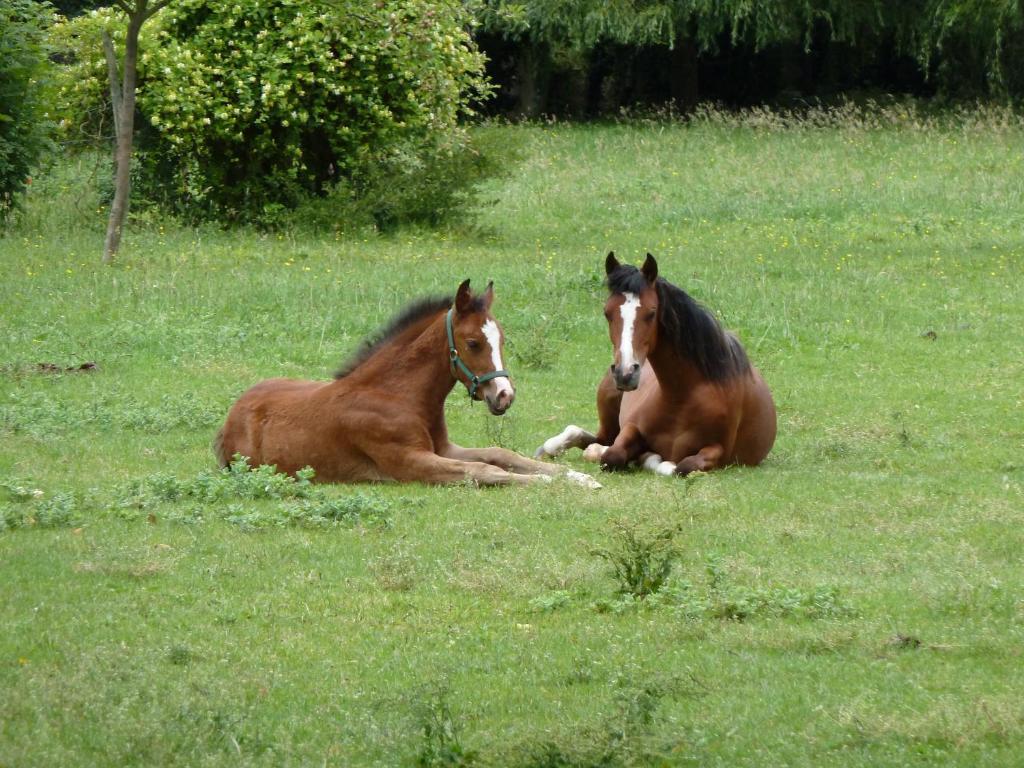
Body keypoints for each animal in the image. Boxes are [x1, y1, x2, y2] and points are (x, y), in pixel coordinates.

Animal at [216, 280, 598, 487]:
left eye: (501, 339)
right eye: (474, 343)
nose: (504, 396)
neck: (396, 395)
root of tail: (231, 416)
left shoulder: (443, 449)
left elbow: (498, 454)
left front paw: (576, 477)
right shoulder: (411, 462)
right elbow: (483, 470)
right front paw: (548, 482)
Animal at [536, 253, 774, 475]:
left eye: (651, 313)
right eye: (607, 313)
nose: (625, 373)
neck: (682, 396)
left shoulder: (719, 450)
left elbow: (681, 466)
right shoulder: (631, 427)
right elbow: (613, 454)